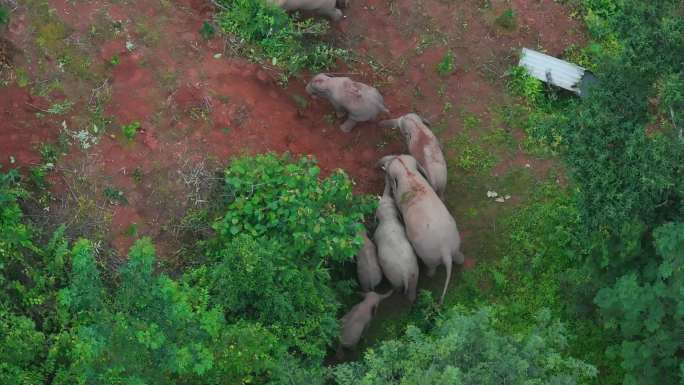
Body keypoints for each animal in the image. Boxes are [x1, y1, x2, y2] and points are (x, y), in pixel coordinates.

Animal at [374, 154, 464, 304]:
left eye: (389, 174)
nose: (381, 165)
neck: (408, 172)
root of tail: (445, 250)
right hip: (455, 242)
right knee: (458, 255)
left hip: (428, 254)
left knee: (432, 267)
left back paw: (428, 274)